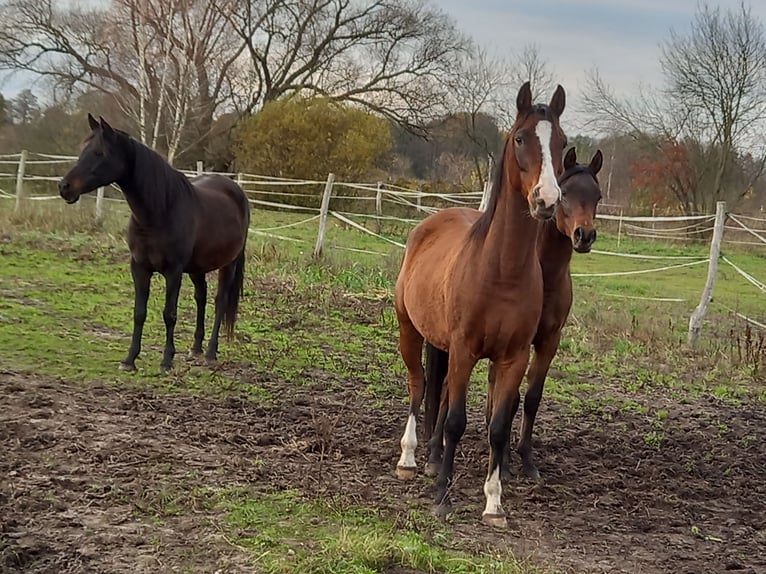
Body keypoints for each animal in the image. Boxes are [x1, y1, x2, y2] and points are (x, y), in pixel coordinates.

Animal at [60, 116, 252, 374]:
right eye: (83, 150)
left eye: (99, 153)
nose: (65, 187)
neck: (159, 211)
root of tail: (236, 190)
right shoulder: (139, 267)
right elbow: (139, 312)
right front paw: (129, 360)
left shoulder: (173, 272)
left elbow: (169, 314)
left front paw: (166, 361)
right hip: (197, 267)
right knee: (201, 297)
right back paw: (195, 349)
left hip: (227, 264)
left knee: (220, 302)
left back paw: (210, 353)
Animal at [396, 83, 568, 528]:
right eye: (521, 138)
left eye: (561, 143)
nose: (547, 199)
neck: (501, 272)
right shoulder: (465, 350)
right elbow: (457, 421)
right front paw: (442, 497)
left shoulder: (512, 358)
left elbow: (498, 426)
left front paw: (494, 503)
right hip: (410, 331)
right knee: (419, 385)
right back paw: (408, 458)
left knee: (436, 392)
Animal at [426, 145, 608, 486]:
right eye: (566, 194)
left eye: (598, 195)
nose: (585, 235)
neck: (545, 275)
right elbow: (508, 402)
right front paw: (506, 462)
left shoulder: (547, 342)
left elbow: (530, 398)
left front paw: (525, 459)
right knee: (444, 391)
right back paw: (434, 451)